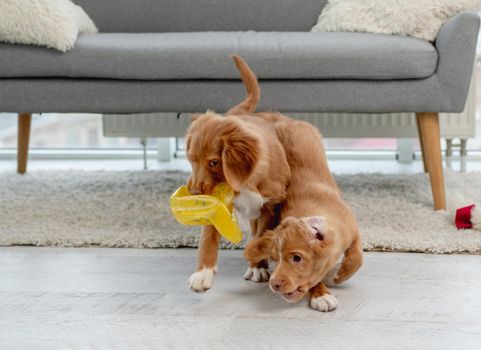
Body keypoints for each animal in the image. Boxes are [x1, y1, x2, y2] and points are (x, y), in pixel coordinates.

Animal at [184, 56, 288, 292]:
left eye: (214, 162)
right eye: (191, 160)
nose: (193, 192)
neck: (245, 183)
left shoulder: (270, 205)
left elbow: (261, 235)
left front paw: (257, 267)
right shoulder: (216, 203)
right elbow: (208, 239)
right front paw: (203, 272)